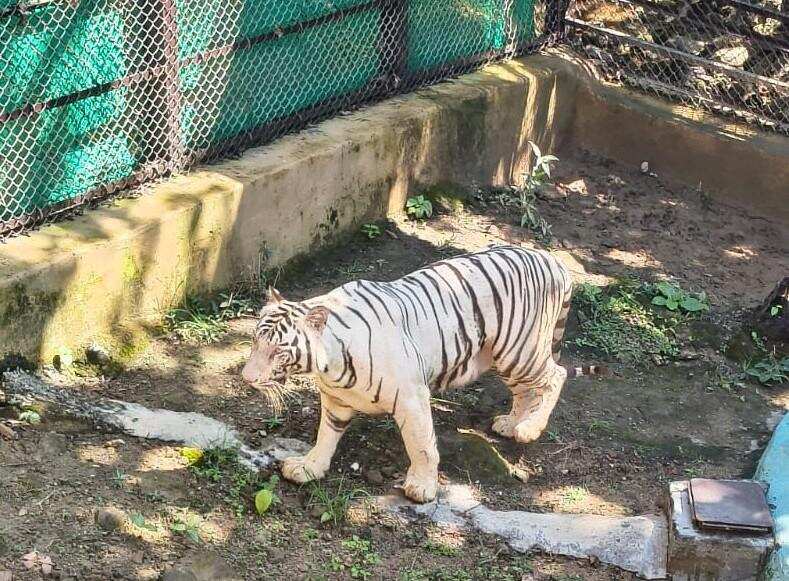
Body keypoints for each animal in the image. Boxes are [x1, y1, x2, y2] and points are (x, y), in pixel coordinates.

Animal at [241, 244, 605, 503]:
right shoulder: (336, 400)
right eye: (256, 341)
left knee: (554, 376)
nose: (246, 378)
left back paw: (529, 429)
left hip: (520, 350)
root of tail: (552, 260)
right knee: (525, 390)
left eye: (278, 351)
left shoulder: (411, 396)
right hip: (504, 358)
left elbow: (421, 445)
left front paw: (422, 488)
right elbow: (325, 436)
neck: (330, 365)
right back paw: (511, 424)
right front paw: (309, 467)